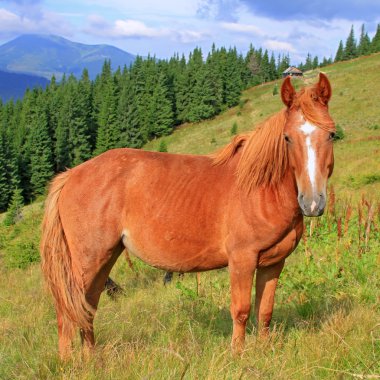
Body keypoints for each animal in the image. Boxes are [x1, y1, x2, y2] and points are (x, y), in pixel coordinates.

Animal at [39, 72, 336, 358]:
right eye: (287, 138)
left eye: (331, 135)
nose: (312, 202)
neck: (260, 188)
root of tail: (71, 175)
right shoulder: (242, 260)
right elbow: (241, 311)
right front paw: (238, 356)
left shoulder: (273, 263)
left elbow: (265, 311)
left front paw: (263, 351)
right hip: (87, 262)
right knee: (67, 314)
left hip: (104, 259)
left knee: (86, 309)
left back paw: (93, 360)